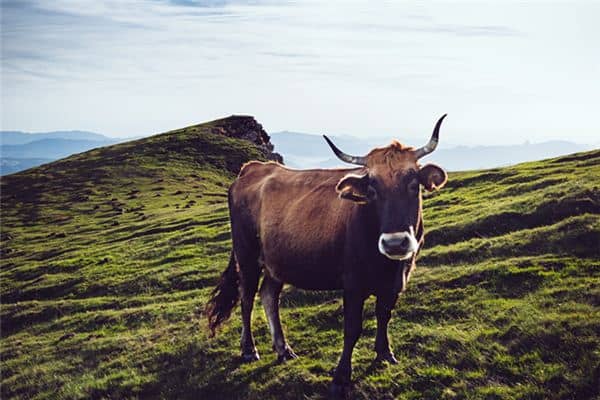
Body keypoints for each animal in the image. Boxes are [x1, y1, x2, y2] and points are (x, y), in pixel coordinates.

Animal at [204, 115, 448, 396]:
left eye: (412, 183)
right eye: (372, 188)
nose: (395, 243)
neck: (386, 266)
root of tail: (253, 168)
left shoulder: (397, 279)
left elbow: (384, 315)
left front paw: (385, 354)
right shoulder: (352, 282)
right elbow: (352, 328)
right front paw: (341, 376)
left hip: (277, 261)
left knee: (268, 296)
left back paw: (283, 349)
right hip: (246, 256)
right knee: (246, 299)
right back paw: (249, 350)